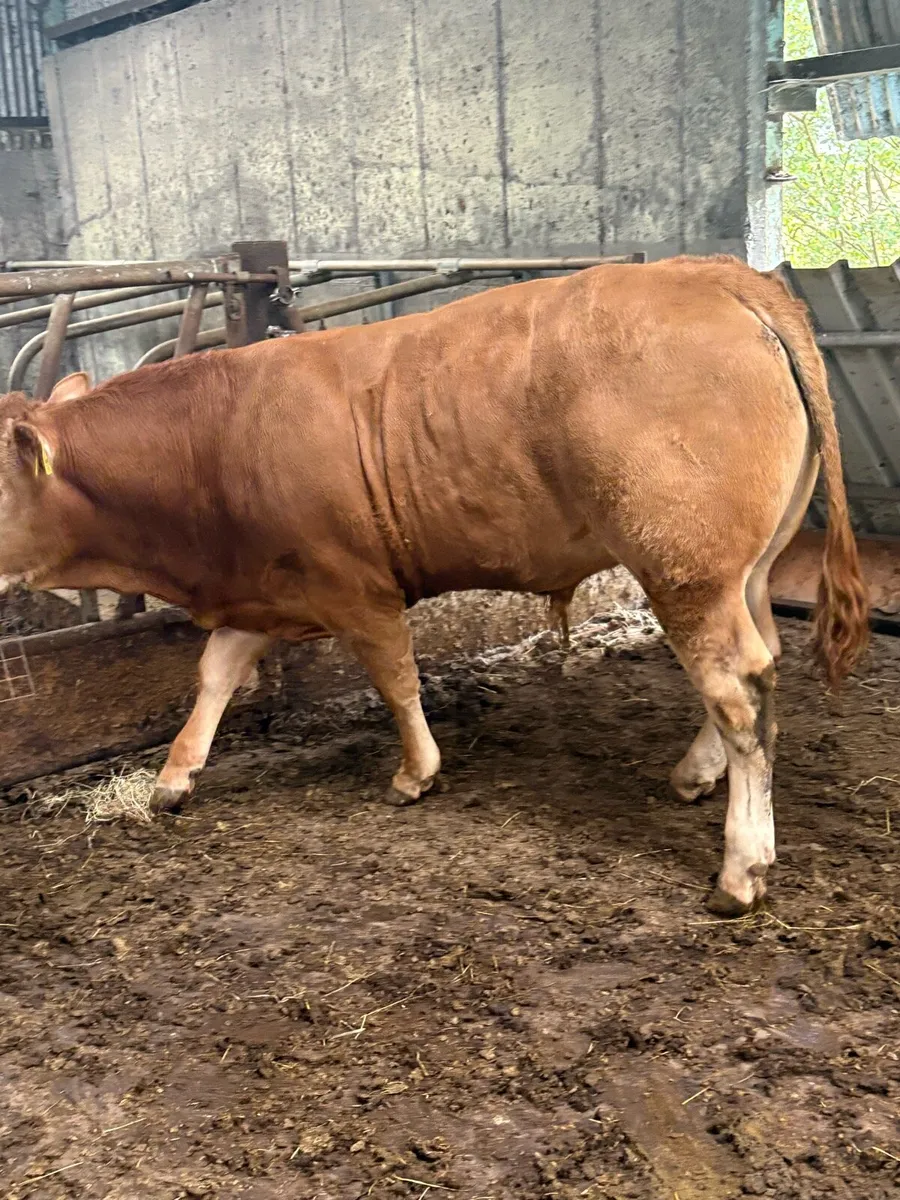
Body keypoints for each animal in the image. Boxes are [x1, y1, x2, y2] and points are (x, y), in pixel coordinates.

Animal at [0, 255, 869, 915]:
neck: (214, 437)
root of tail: (710, 271)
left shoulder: (353, 585)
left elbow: (395, 677)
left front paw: (415, 773)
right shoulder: (263, 585)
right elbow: (213, 677)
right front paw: (172, 780)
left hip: (684, 566)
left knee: (738, 692)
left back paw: (741, 868)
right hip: (738, 569)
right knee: (756, 668)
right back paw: (696, 775)